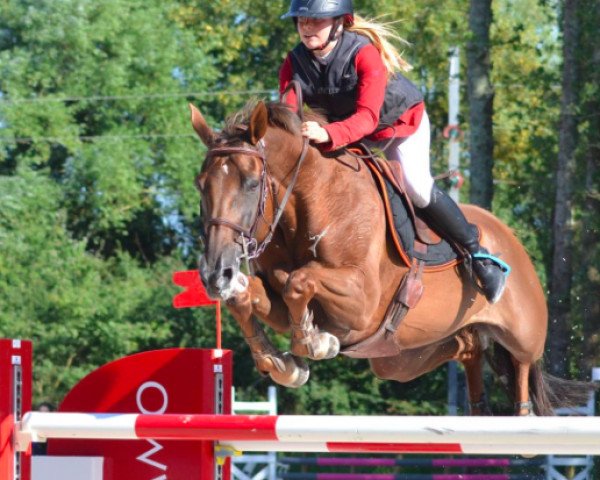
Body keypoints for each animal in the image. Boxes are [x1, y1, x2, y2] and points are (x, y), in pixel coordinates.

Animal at [191, 99, 592, 414]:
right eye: (201, 185)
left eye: (251, 184)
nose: (215, 274)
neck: (308, 204)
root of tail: (512, 239)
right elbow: (249, 297)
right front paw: (280, 362)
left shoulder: (361, 304)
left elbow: (299, 282)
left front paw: (312, 343)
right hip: (401, 358)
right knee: (467, 348)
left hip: (523, 333)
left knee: (523, 366)